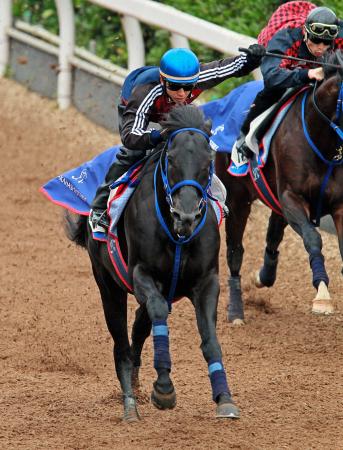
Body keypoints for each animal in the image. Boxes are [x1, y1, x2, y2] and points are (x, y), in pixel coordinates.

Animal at [66, 105, 241, 422]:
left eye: (208, 161)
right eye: (171, 159)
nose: (186, 215)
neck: (177, 234)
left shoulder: (207, 281)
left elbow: (209, 338)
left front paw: (225, 398)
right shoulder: (141, 275)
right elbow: (157, 312)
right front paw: (163, 389)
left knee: (139, 327)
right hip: (108, 286)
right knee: (122, 345)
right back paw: (130, 406)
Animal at [216, 50, 343, 324]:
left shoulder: (338, 205)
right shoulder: (291, 197)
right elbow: (313, 238)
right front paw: (322, 296)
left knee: (272, 239)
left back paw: (262, 276)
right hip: (237, 200)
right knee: (235, 252)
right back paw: (236, 312)